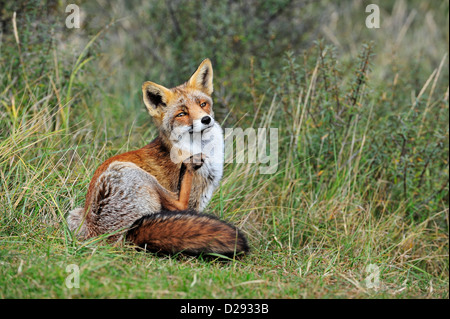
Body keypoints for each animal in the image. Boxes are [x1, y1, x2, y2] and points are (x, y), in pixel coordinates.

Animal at [68, 58, 248, 256]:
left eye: (203, 104)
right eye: (182, 114)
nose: (206, 120)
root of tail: (100, 236)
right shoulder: (194, 202)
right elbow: (184, 206)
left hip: (74, 214)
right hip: (131, 172)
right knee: (179, 203)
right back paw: (188, 167)